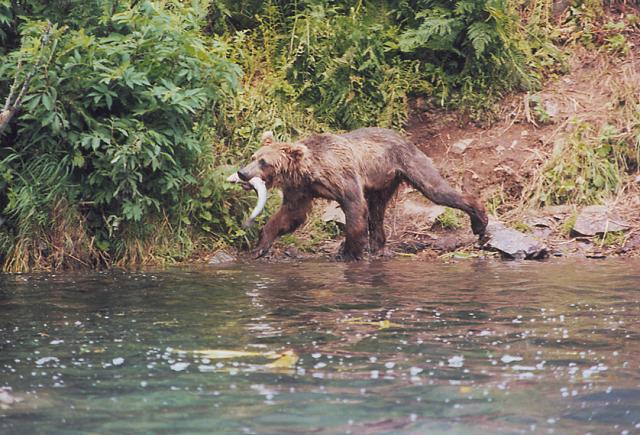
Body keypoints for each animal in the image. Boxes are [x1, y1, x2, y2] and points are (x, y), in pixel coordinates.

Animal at [232, 127, 488, 260]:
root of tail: (404, 137)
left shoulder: (342, 175)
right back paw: (379, 246)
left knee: (436, 190)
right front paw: (261, 244)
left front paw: (348, 252)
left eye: (264, 162)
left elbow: (354, 207)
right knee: (377, 212)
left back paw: (479, 221)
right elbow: (290, 215)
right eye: (254, 156)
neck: (310, 171)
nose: (243, 173)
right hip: (382, 182)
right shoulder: (301, 189)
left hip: (407, 164)